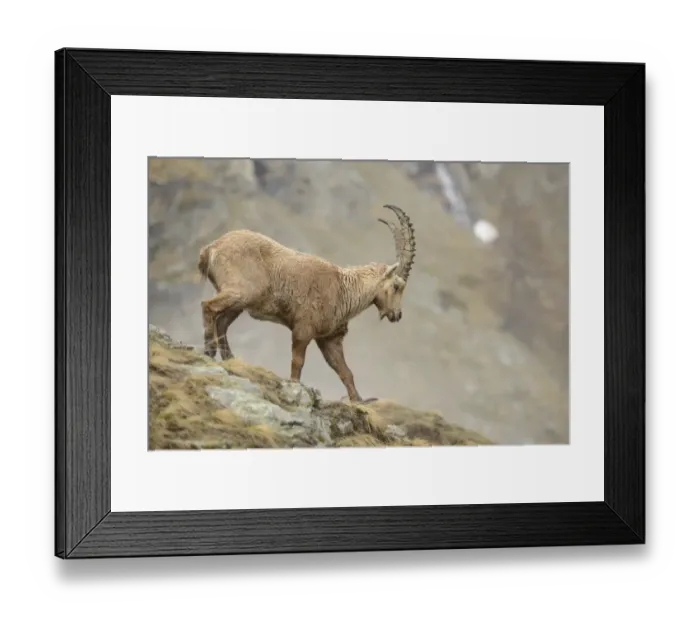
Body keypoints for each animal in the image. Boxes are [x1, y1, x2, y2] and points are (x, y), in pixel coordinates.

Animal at [197, 204, 416, 403]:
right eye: (397, 285)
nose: (397, 315)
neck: (344, 289)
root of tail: (211, 248)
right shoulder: (303, 329)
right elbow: (298, 362)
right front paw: (295, 387)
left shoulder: (329, 339)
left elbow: (344, 371)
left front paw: (359, 400)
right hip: (241, 291)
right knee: (208, 306)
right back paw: (209, 351)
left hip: (240, 302)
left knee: (222, 322)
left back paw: (229, 358)